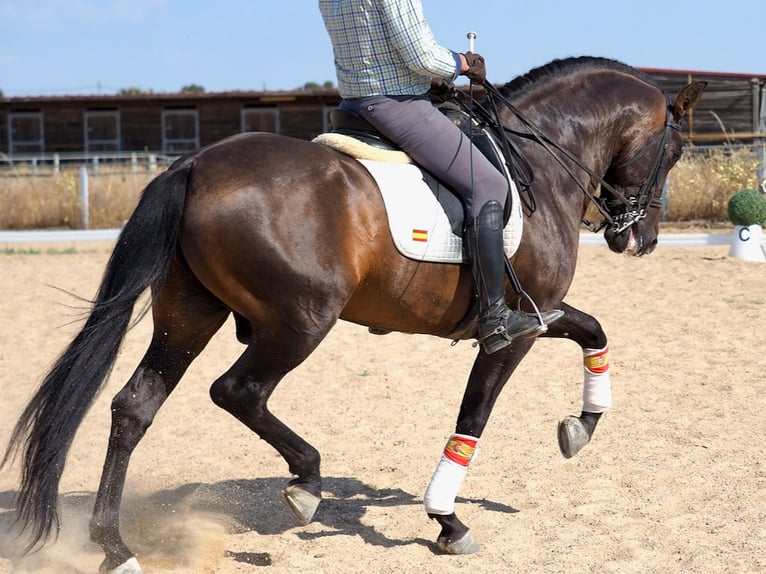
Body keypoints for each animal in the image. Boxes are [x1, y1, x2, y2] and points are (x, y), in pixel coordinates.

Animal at [1, 56, 708, 572]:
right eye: (674, 152)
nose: (640, 238)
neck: (540, 160)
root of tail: (196, 164)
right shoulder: (513, 330)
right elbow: (474, 417)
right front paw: (448, 520)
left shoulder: (541, 313)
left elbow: (593, 329)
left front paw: (581, 426)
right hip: (300, 321)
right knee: (238, 390)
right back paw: (306, 484)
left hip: (190, 315)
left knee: (134, 406)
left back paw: (115, 548)